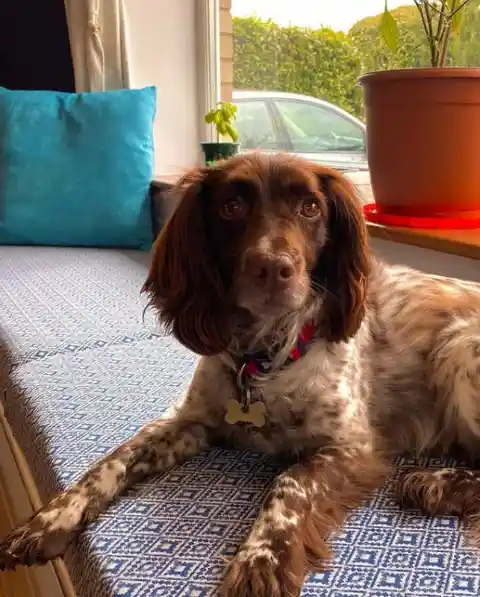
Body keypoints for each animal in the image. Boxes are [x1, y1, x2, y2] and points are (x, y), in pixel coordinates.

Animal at [0, 154, 480, 596]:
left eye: (310, 207)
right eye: (231, 207)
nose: (273, 268)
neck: (265, 361)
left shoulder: (353, 447)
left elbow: (290, 483)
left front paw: (260, 558)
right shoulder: (188, 420)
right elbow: (113, 458)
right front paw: (52, 518)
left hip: (457, 346)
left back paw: (437, 484)